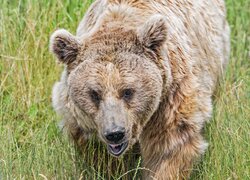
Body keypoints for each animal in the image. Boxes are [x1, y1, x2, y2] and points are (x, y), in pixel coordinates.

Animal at [49, 0, 230, 179]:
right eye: (94, 93)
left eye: (127, 91)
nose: (115, 133)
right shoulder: (81, 119)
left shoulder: (170, 97)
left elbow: (168, 149)